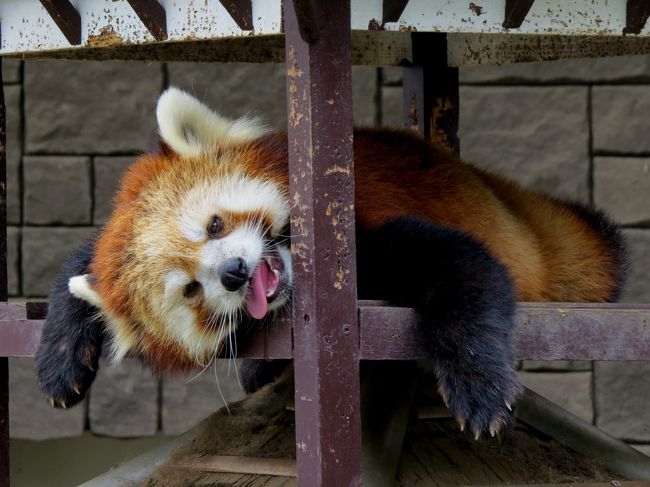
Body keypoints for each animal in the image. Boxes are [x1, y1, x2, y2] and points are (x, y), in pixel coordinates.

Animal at [34, 86, 624, 438]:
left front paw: (480, 389)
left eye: (215, 225)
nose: (234, 273)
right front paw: (61, 357)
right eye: (191, 290)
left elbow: (463, 271)